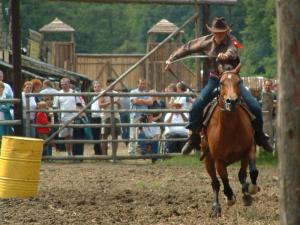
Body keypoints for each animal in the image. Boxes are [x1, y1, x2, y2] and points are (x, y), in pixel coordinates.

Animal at [204, 66, 260, 217]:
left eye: (239, 82)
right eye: (221, 82)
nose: (232, 101)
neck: (231, 129)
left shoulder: (249, 148)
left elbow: (251, 171)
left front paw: (250, 190)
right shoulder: (218, 160)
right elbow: (224, 179)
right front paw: (230, 197)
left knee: (241, 175)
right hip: (207, 160)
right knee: (215, 182)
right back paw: (216, 207)